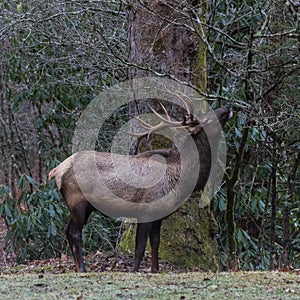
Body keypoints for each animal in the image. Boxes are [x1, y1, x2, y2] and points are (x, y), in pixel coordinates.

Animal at [48, 96, 233, 274]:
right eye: (206, 120)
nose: (227, 108)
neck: (181, 177)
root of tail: (56, 171)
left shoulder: (159, 214)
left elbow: (155, 242)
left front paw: (156, 269)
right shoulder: (146, 210)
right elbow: (140, 247)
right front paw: (136, 270)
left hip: (84, 207)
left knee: (68, 230)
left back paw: (78, 267)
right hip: (77, 202)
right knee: (74, 233)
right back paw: (82, 268)